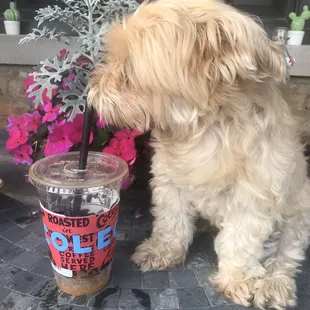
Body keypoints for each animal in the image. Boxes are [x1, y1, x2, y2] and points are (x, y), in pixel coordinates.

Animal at [87, 0, 310, 308]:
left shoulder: (254, 196)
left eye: (128, 72)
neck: (204, 130)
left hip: (298, 212)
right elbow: (172, 222)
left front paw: (237, 279)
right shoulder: (170, 182)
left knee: (285, 256)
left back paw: (274, 285)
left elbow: (240, 241)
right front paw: (163, 251)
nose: (93, 86)